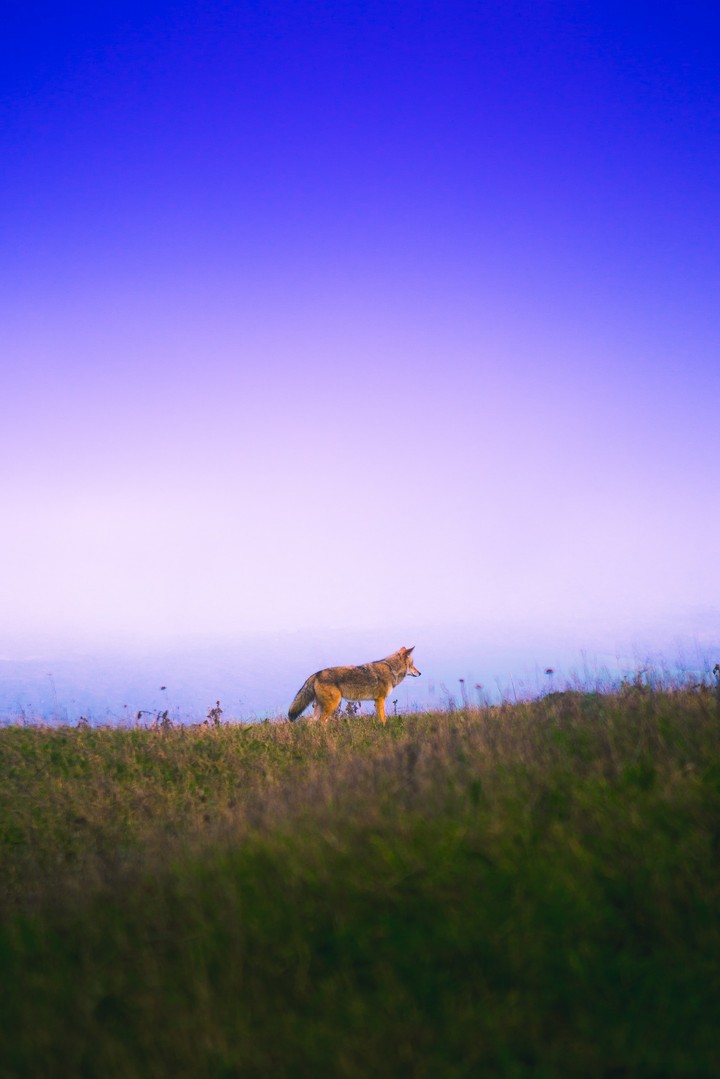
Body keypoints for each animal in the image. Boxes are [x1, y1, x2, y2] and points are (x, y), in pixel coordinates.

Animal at [288, 646, 421, 724]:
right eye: (412, 665)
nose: (420, 673)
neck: (391, 669)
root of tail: (316, 674)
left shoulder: (377, 701)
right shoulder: (380, 699)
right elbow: (383, 719)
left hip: (321, 707)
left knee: (311, 722)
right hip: (332, 705)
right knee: (321, 722)